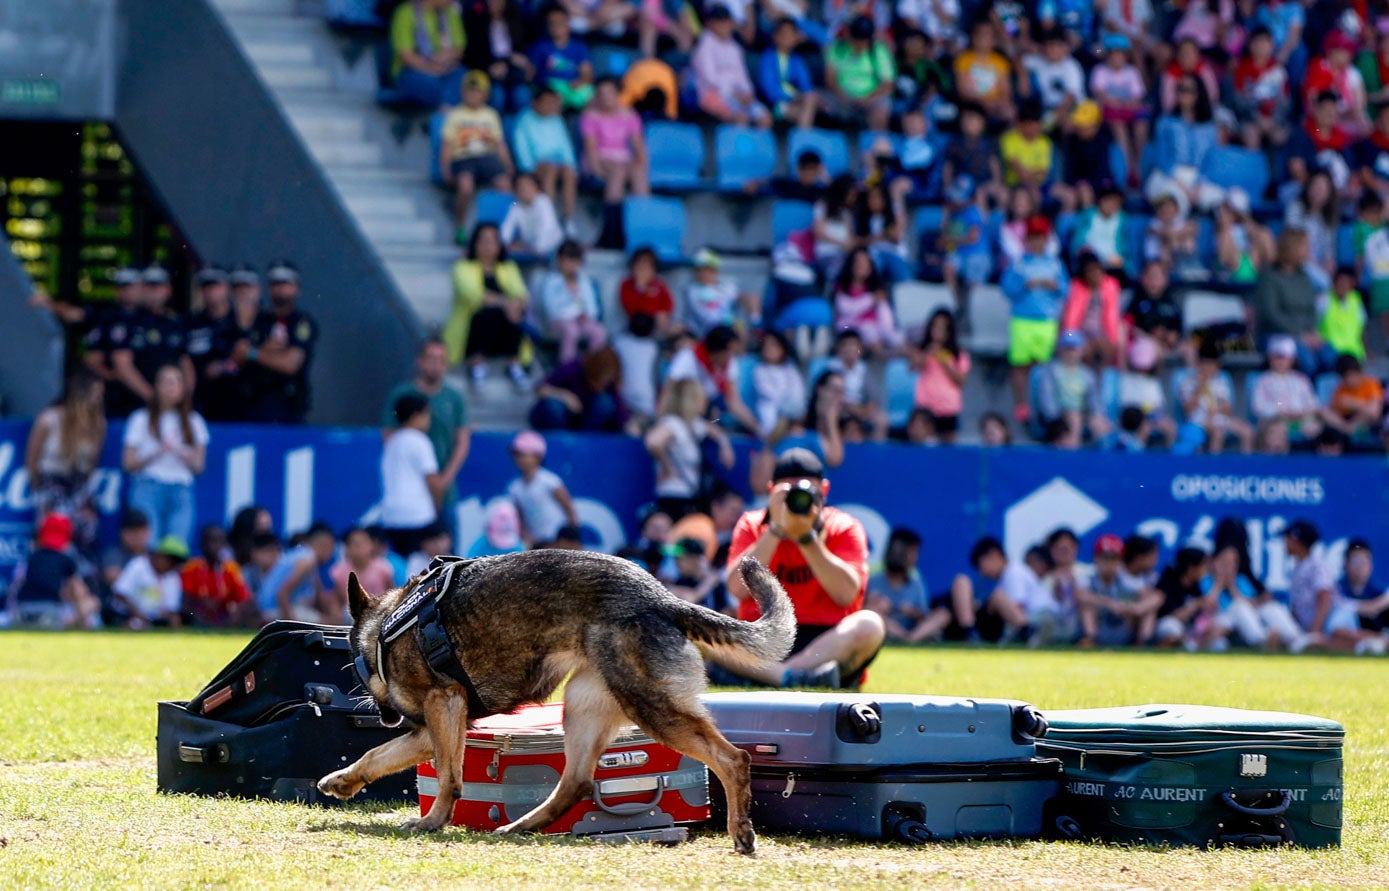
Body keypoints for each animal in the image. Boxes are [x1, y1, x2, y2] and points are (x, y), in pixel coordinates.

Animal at [316, 544, 794, 850]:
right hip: (581, 707)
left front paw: (433, 821)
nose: (381, 712)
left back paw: (741, 832)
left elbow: (449, 778)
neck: (383, 631)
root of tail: (662, 598)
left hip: (651, 706)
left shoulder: (444, 705)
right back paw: (521, 827)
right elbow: (378, 753)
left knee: (733, 758)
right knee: (576, 782)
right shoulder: (437, 725)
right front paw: (343, 779)